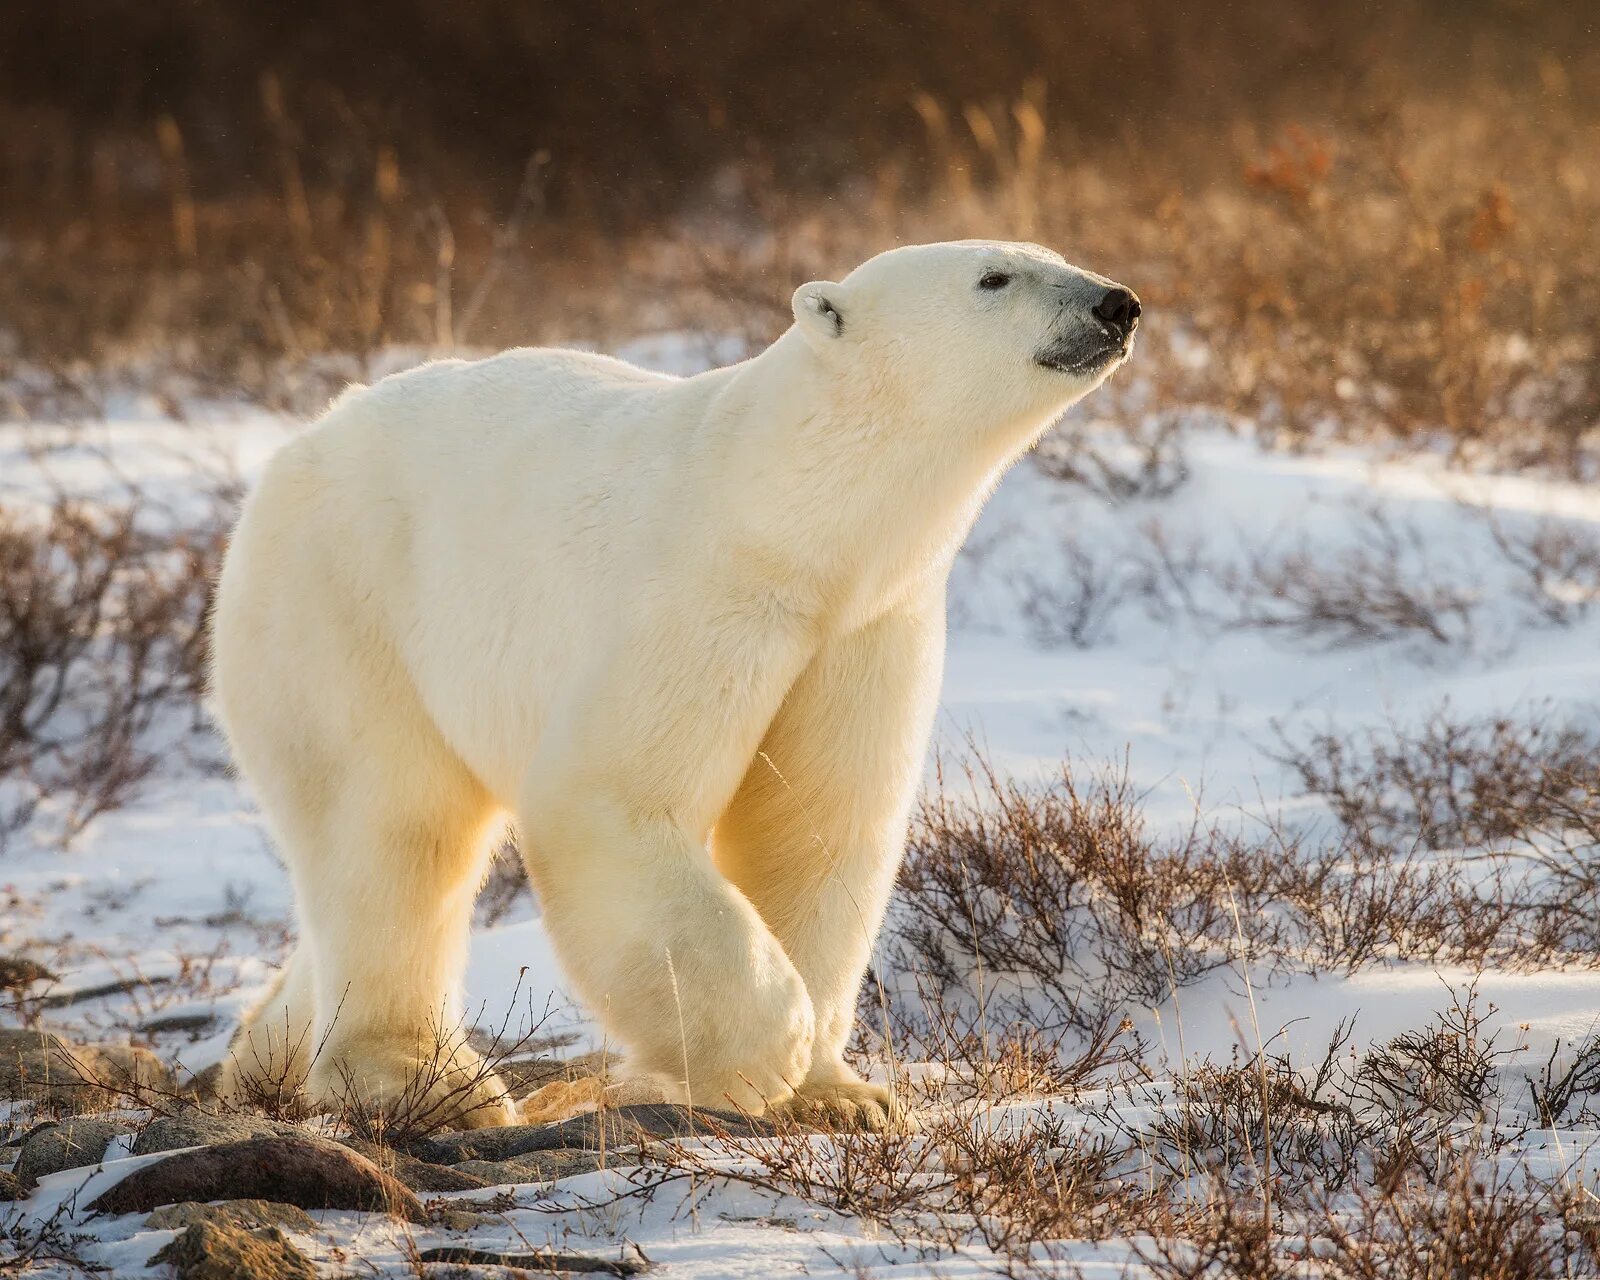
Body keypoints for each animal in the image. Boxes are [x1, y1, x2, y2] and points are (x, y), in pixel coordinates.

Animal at [209, 240, 1139, 1132]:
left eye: (1055, 252)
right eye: (995, 276)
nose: (1117, 303)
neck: (795, 511)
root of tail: (300, 444)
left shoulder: (866, 625)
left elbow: (820, 828)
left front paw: (841, 1094)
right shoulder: (704, 592)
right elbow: (613, 798)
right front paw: (768, 1054)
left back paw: (266, 1052)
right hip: (343, 601)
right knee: (392, 826)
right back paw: (420, 1079)